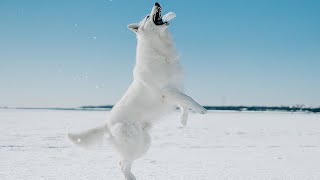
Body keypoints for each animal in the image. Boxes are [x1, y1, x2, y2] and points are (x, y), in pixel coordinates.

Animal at [68, 2, 206, 180]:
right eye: (147, 16)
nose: (156, 3)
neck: (159, 50)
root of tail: (108, 124)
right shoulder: (168, 90)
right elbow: (188, 99)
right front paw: (201, 109)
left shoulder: (175, 90)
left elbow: (184, 104)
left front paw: (183, 121)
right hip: (135, 144)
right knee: (122, 164)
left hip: (144, 144)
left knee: (123, 162)